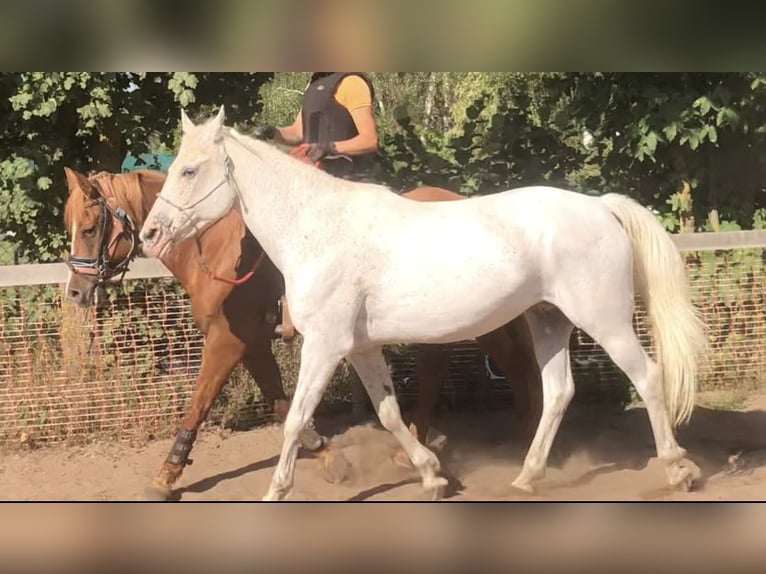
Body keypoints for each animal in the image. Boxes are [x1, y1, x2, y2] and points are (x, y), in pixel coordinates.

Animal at [63, 165, 540, 500]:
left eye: (88, 229)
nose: (76, 291)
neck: (215, 246)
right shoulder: (254, 345)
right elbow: (279, 404)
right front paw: (326, 454)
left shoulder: (227, 341)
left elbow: (197, 406)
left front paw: (166, 475)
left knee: (501, 363)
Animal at [140, 107, 708, 500]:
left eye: (189, 170)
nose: (150, 234)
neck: (315, 229)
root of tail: (599, 207)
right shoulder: (359, 348)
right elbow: (389, 412)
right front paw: (434, 476)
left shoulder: (322, 346)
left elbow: (296, 419)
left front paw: (275, 491)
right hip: (548, 321)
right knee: (558, 392)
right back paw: (526, 477)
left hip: (604, 321)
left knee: (648, 378)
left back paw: (678, 469)